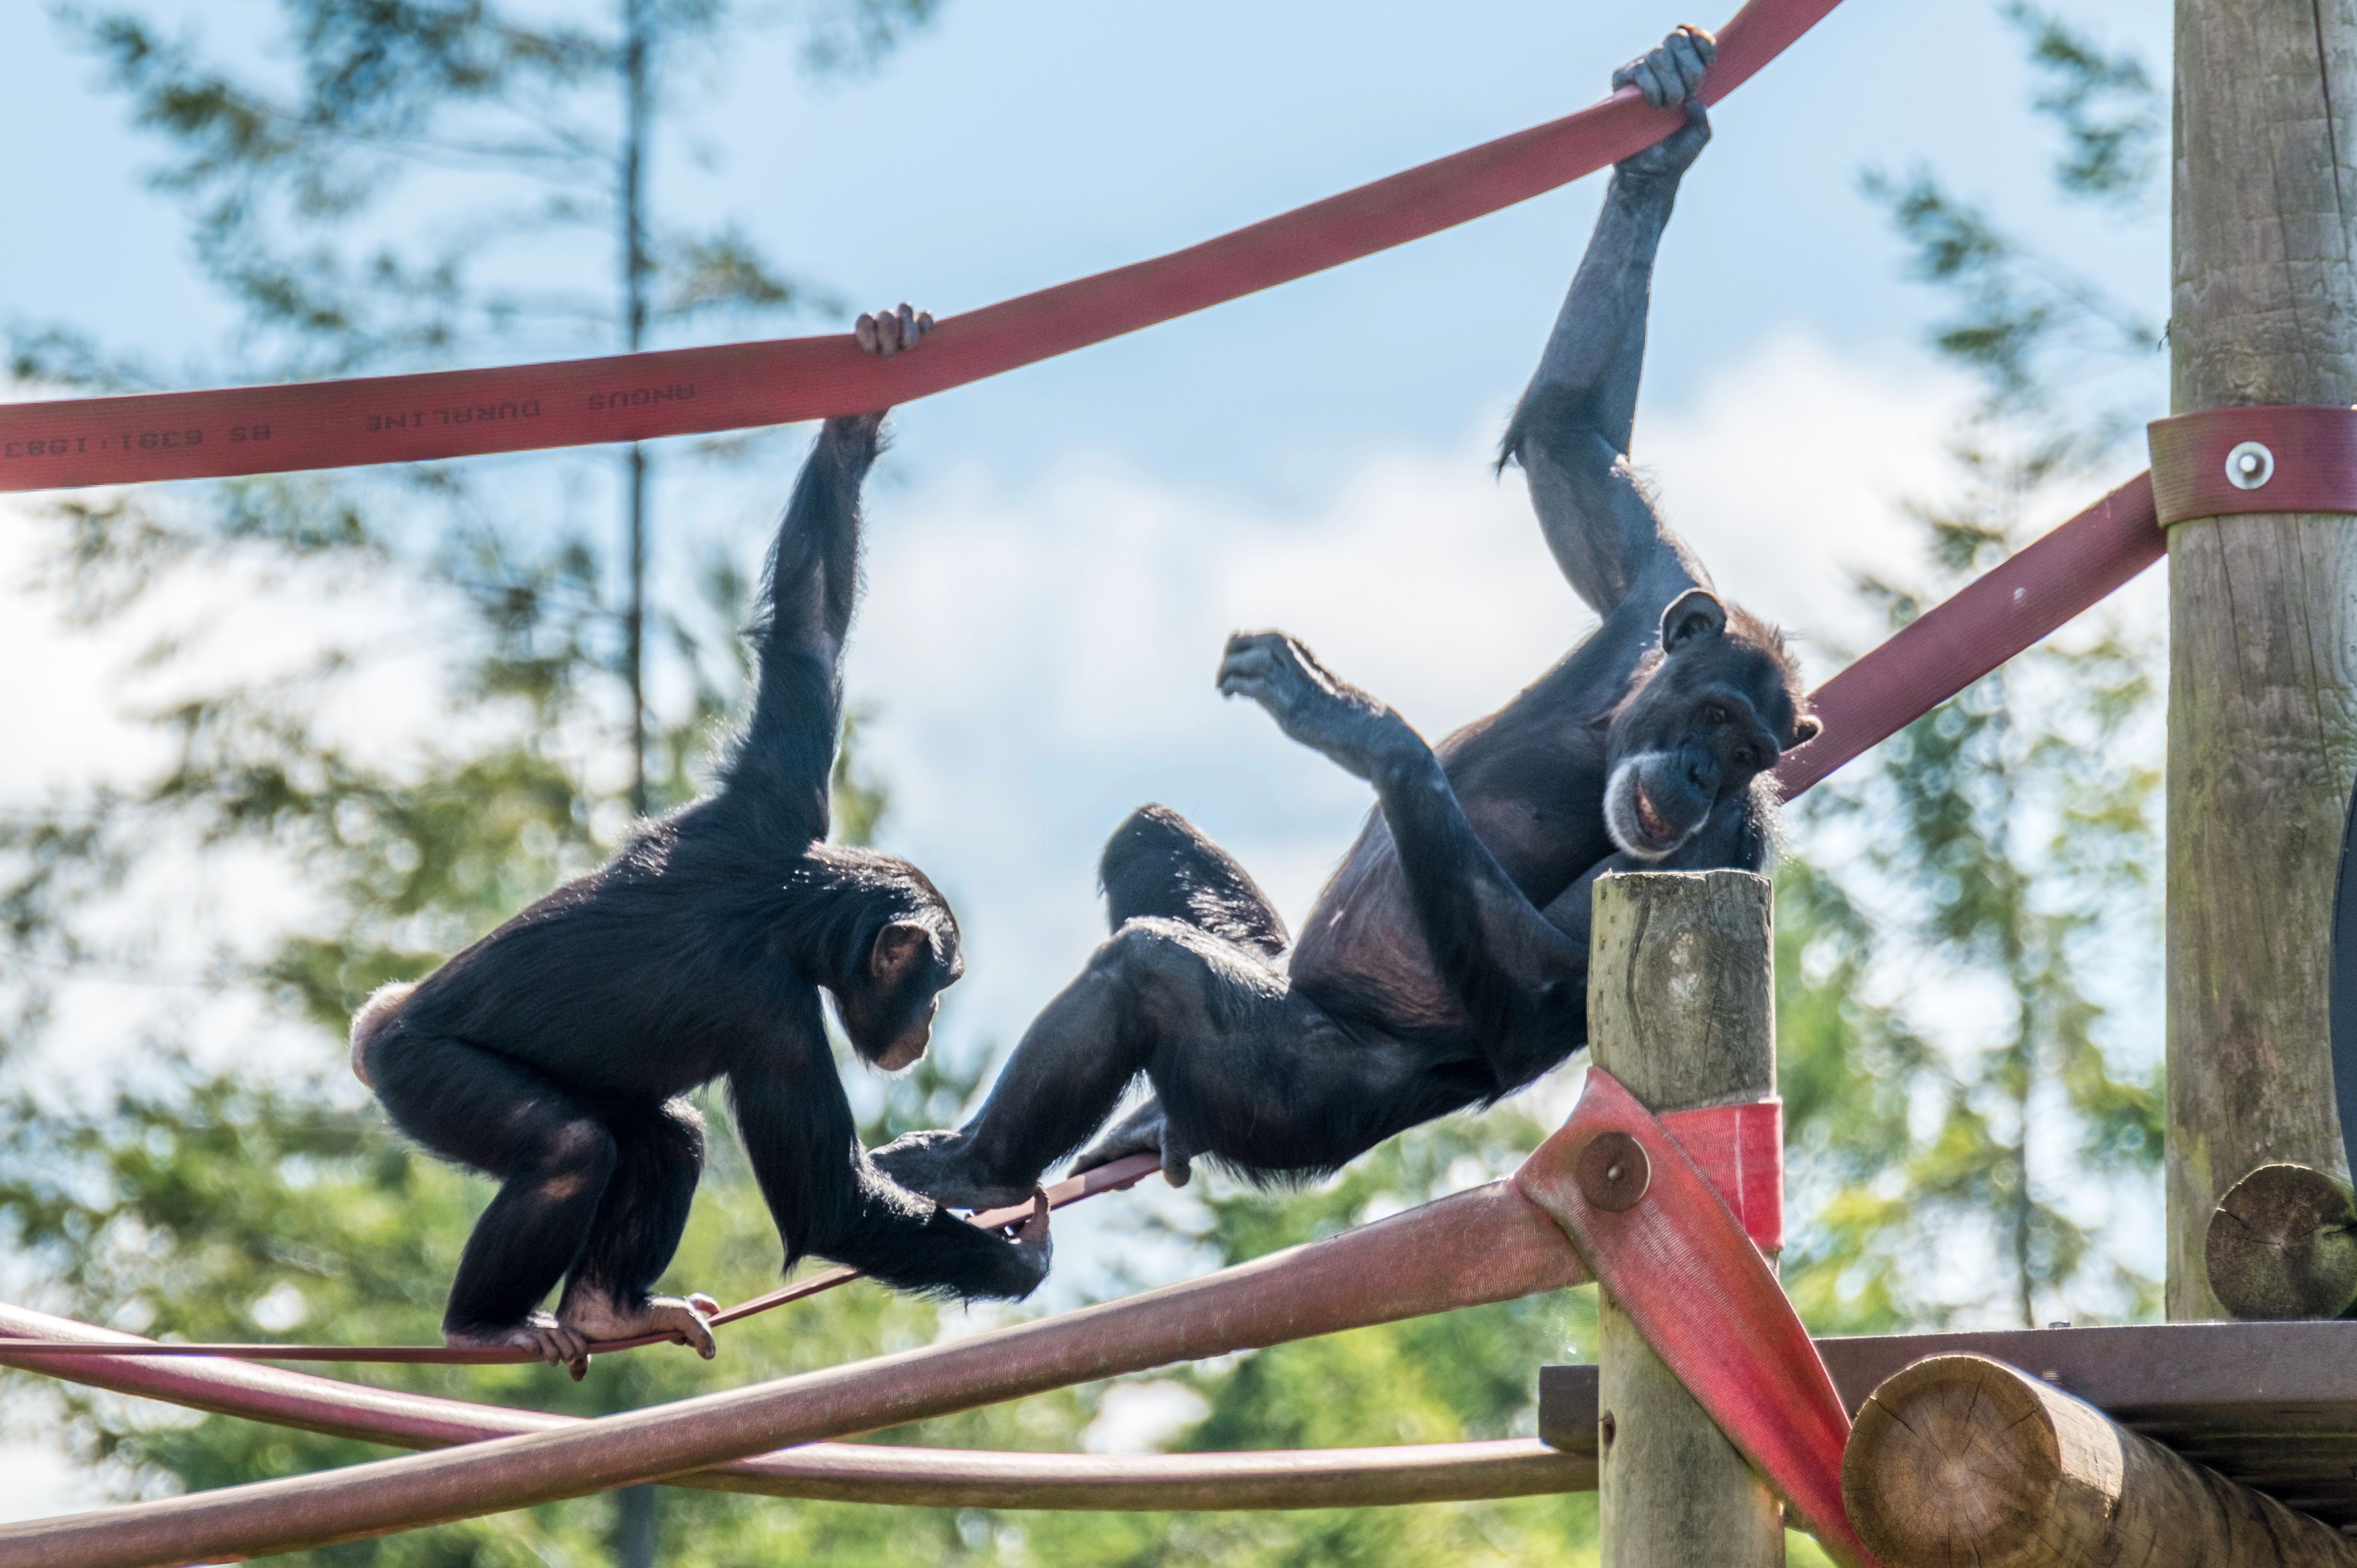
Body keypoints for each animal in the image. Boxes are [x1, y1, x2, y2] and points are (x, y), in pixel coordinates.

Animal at [349, 301, 1051, 1358]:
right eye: (941, 982)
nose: (927, 1026)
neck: (791, 909)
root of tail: (376, 1024)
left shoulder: (779, 803)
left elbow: (810, 624)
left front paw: (858, 414)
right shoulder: (775, 1015)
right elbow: (827, 1199)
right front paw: (1016, 1257)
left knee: (668, 1132)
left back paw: (607, 1304)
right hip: (423, 1072)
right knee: (567, 1145)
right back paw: (484, 1324)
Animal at [877, 30, 1810, 1216]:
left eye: (1745, 758)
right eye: (1721, 720)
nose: (1698, 773)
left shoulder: (1726, 849)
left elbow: (1542, 999)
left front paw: (1361, 723)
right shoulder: (1656, 587)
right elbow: (1567, 432)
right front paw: (1663, 128)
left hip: (1287, 1097)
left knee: (1153, 972)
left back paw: (975, 1165)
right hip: (1270, 978)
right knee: (1155, 849)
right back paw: (1122, 1121)